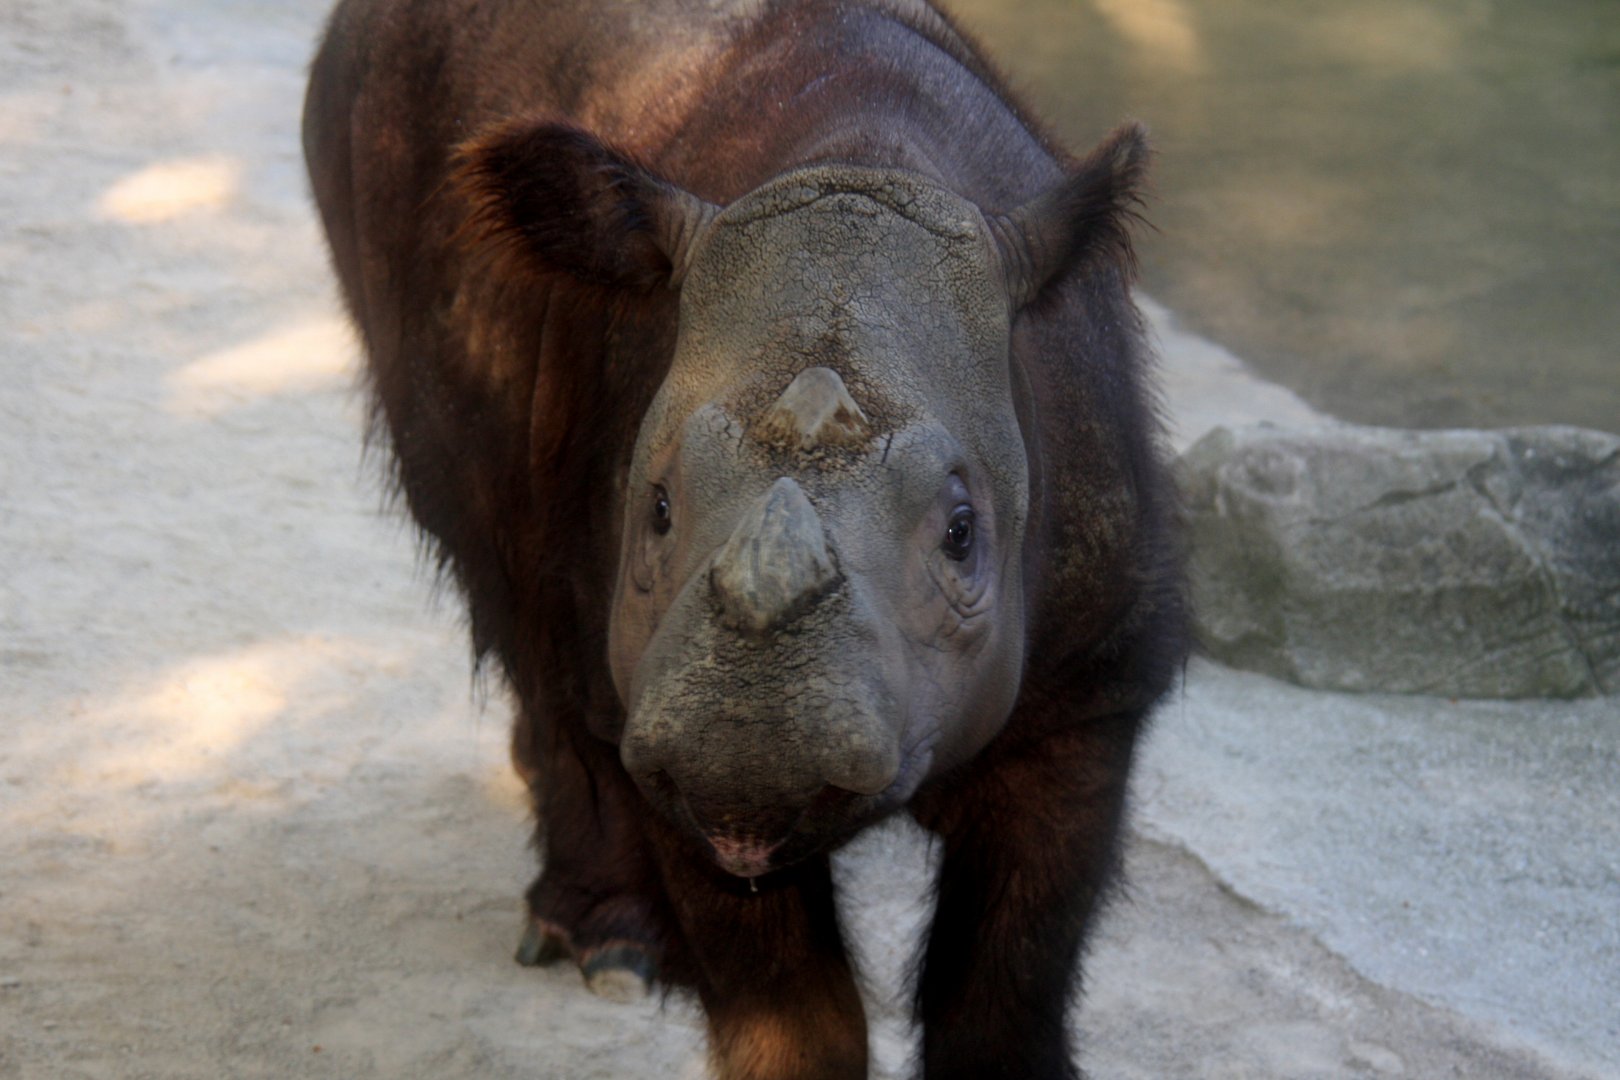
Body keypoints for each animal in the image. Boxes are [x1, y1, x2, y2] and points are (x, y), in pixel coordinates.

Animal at [303, 0, 1186, 1076]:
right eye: (656, 508)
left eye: (963, 532)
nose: (750, 750)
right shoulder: (658, 706)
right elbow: (796, 1019)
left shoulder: (1094, 689)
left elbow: (1003, 996)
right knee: (505, 575)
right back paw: (607, 948)